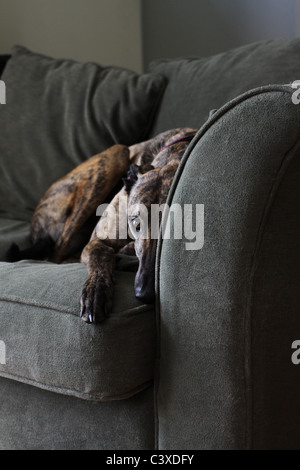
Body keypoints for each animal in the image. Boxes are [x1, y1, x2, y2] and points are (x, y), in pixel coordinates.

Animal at [6, 130, 197, 324]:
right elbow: (101, 254)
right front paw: (96, 291)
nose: (144, 294)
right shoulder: (98, 239)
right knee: (54, 257)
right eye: (136, 224)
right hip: (114, 157)